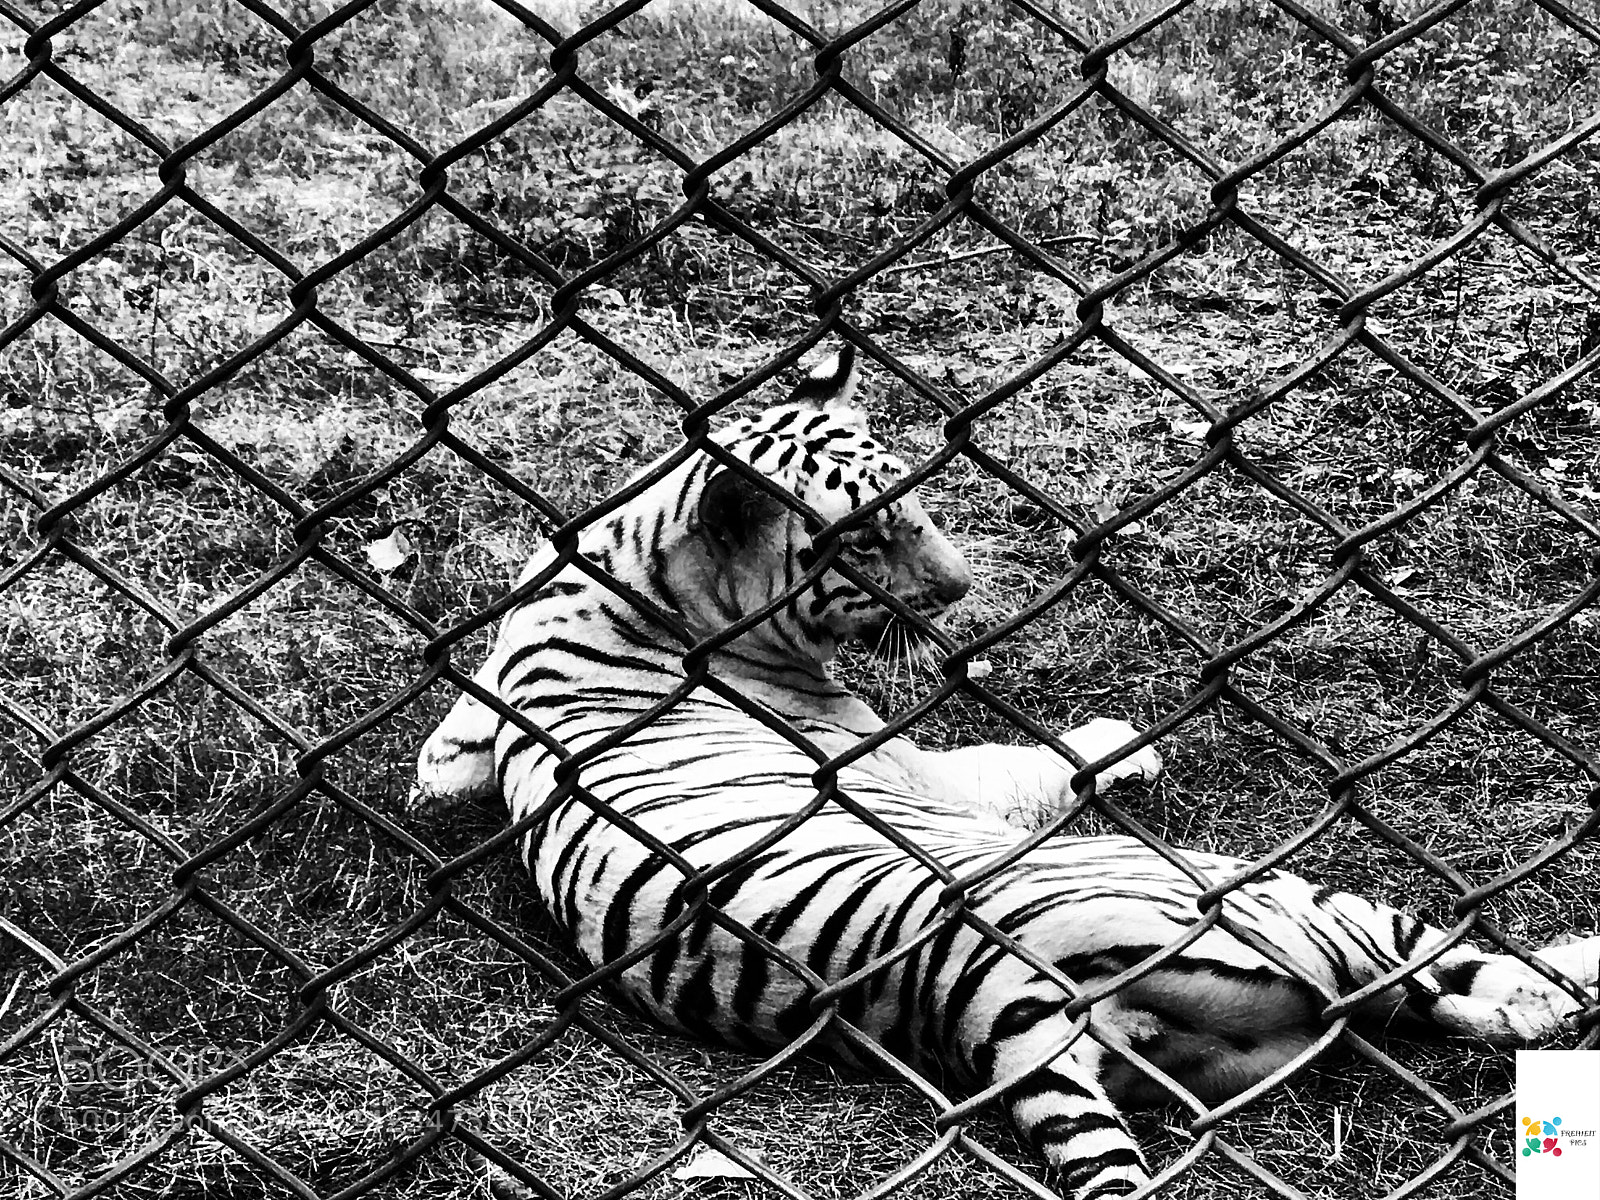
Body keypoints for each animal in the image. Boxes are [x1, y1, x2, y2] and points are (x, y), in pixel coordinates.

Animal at [413, 345, 1599, 1198]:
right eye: (862, 542)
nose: (959, 589)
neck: (631, 570)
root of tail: (988, 995)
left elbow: (446, 748)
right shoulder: (901, 758)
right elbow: (1023, 761)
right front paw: (1122, 737)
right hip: (1266, 899)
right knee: (1464, 974)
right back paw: (1568, 966)